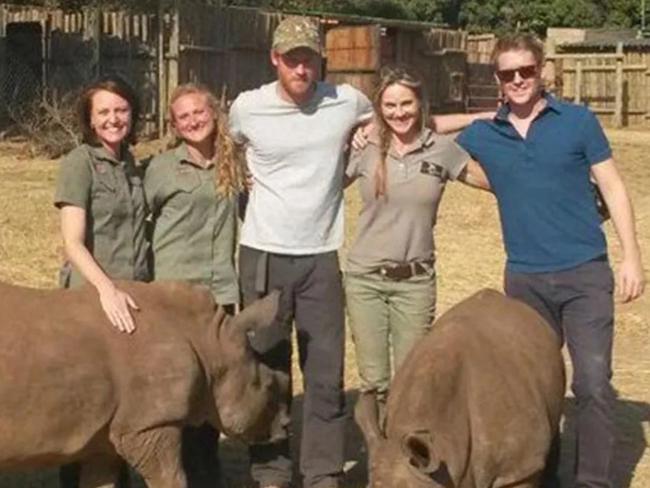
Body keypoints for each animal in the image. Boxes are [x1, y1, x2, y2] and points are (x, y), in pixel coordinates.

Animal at [0, 280, 284, 488]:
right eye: (269, 387)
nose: (285, 426)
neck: (213, 342)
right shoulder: (148, 423)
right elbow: (171, 478)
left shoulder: (106, 434)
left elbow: (101, 479)